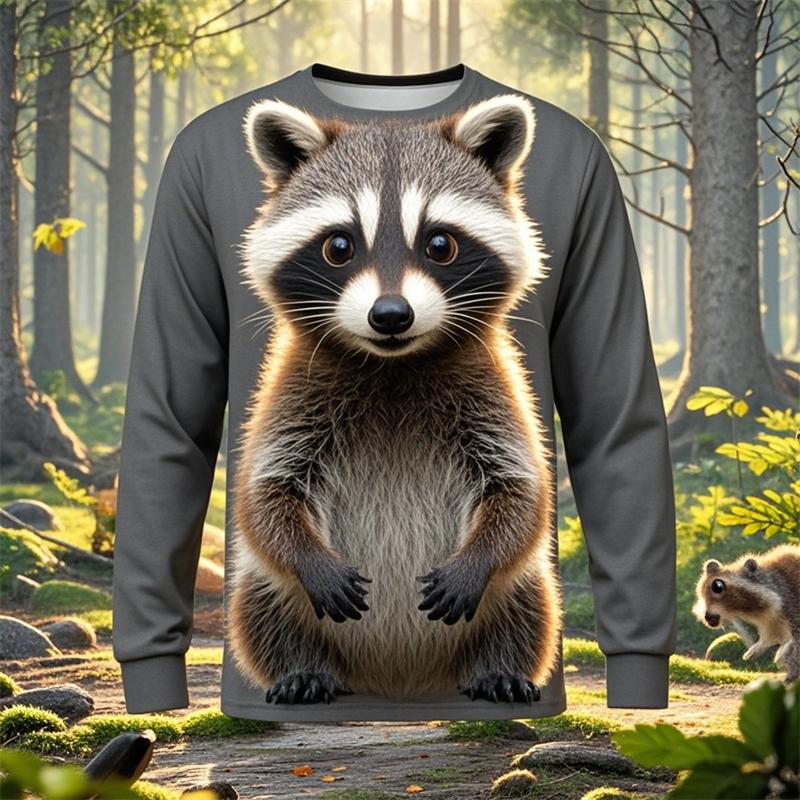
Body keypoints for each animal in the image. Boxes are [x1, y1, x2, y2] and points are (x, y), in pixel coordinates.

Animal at [229, 94, 561, 705]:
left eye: (440, 244)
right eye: (339, 245)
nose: (389, 315)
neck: (393, 366)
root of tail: (398, 679)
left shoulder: (495, 393)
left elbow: (520, 493)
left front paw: (477, 560)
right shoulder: (292, 395)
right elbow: (265, 496)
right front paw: (309, 560)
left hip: (521, 592)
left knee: (528, 599)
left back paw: (499, 667)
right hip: (268, 595)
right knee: (261, 598)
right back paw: (301, 667)